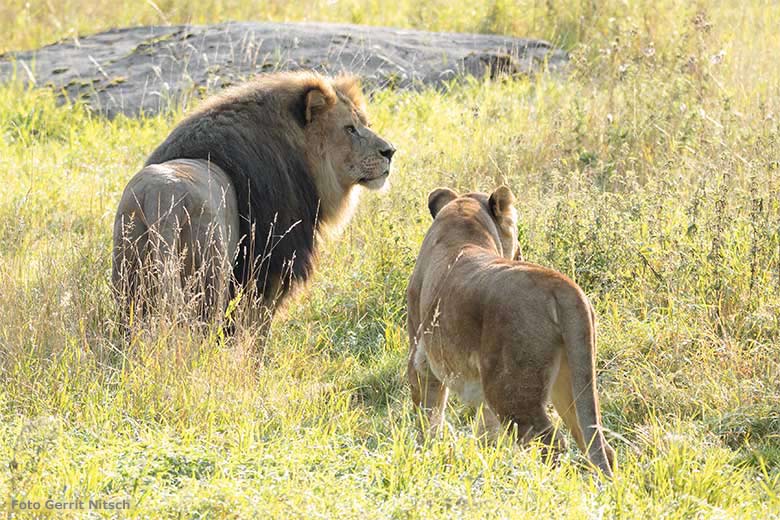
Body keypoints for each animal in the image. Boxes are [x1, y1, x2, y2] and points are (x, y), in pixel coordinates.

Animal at [112, 71, 394, 328]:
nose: (390, 151)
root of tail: (160, 198)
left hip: (129, 277)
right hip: (209, 280)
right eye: (350, 129)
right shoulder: (269, 272)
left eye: (365, 124)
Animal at [408, 186, 616, 476]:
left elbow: (428, 416)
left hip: (510, 389)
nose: (519, 254)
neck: (463, 217)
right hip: (570, 380)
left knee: (551, 443)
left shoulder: (420, 360)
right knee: (597, 444)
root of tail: (562, 285)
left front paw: (424, 453)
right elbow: (485, 430)